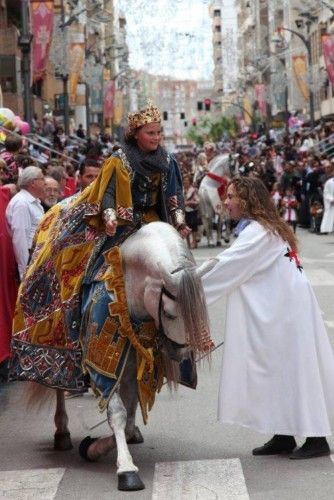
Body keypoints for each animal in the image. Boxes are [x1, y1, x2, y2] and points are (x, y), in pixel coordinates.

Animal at [24, 222, 217, 492]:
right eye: (169, 314)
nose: (180, 353)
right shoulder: (102, 363)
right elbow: (117, 413)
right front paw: (126, 469)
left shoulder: (134, 364)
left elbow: (129, 418)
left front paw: (96, 446)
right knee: (58, 388)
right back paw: (61, 431)